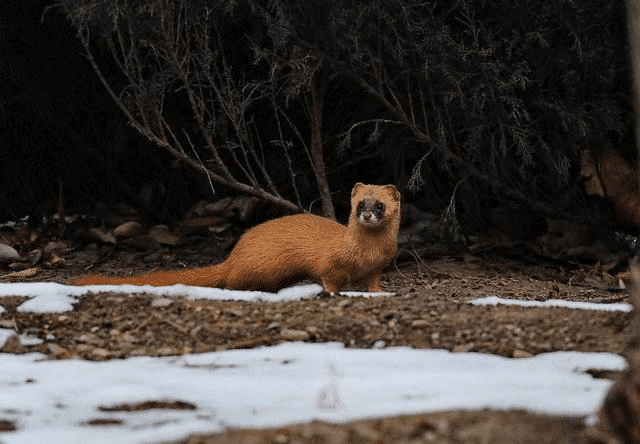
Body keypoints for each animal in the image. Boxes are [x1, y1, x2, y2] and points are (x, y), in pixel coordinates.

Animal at [70, 184, 400, 294]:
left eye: (379, 205)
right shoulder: (330, 262)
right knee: (233, 281)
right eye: (360, 204)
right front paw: (334, 293)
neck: (367, 253)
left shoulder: (378, 266)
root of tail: (234, 256)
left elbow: (373, 281)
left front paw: (380, 293)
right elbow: (329, 277)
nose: (366, 215)